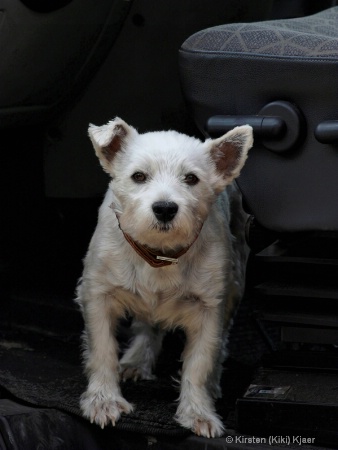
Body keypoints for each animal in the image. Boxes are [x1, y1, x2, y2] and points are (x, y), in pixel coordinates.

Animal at [75, 118, 252, 438]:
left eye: (191, 179)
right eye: (138, 176)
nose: (165, 208)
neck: (158, 254)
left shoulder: (209, 309)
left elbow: (200, 363)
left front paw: (198, 412)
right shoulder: (98, 295)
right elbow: (102, 349)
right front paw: (103, 401)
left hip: (236, 284)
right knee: (148, 326)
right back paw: (135, 361)